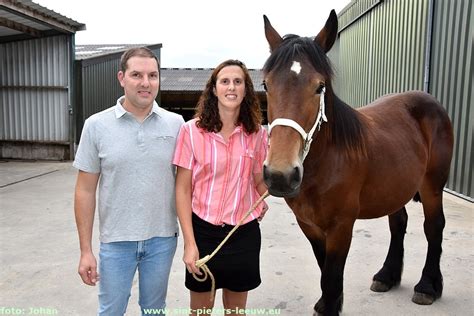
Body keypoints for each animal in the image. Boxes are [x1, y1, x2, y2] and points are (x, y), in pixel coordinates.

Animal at [262, 8, 454, 314]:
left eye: (320, 87)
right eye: (266, 85)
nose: (280, 175)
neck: (326, 163)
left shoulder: (342, 226)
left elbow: (331, 276)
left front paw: (330, 305)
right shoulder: (309, 225)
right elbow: (325, 272)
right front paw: (327, 303)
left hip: (432, 186)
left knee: (434, 227)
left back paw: (427, 286)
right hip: (394, 187)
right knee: (398, 223)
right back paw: (387, 275)